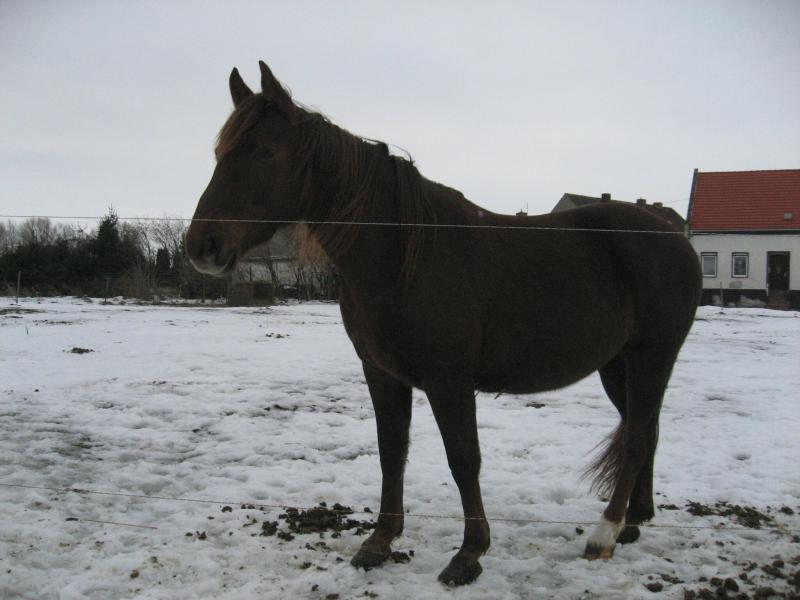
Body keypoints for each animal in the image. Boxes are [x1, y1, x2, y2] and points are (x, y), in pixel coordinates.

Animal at [186, 61, 702, 586]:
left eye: (264, 151)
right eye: (219, 153)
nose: (202, 245)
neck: (402, 257)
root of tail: (674, 237)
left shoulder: (448, 380)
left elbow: (463, 459)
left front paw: (469, 552)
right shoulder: (382, 374)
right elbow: (392, 451)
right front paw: (380, 541)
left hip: (652, 356)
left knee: (635, 436)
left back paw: (604, 533)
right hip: (617, 365)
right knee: (645, 428)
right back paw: (633, 522)